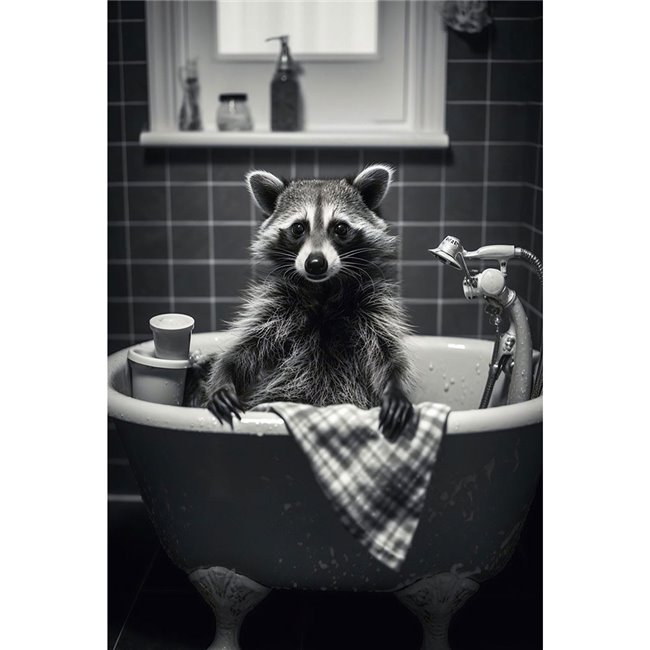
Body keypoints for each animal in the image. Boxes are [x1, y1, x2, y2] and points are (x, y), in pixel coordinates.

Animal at [191, 163, 416, 441]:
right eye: (298, 228)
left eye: (340, 228)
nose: (316, 263)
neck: (323, 291)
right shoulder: (274, 304)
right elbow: (245, 350)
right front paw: (223, 376)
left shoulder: (375, 304)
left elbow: (387, 352)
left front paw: (395, 386)